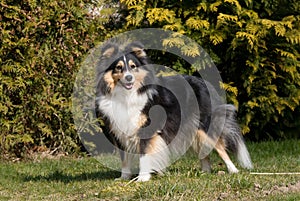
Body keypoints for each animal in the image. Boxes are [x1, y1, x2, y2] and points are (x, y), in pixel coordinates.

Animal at [95, 41, 252, 181]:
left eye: (133, 67)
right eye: (118, 68)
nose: (129, 78)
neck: (127, 95)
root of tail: (205, 83)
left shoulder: (147, 129)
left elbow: (144, 155)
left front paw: (143, 178)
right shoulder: (119, 132)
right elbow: (125, 159)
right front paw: (124, 178)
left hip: (205, 126)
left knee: (220, 147)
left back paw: (233, 170)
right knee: (204, 152)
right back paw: (205, 172)